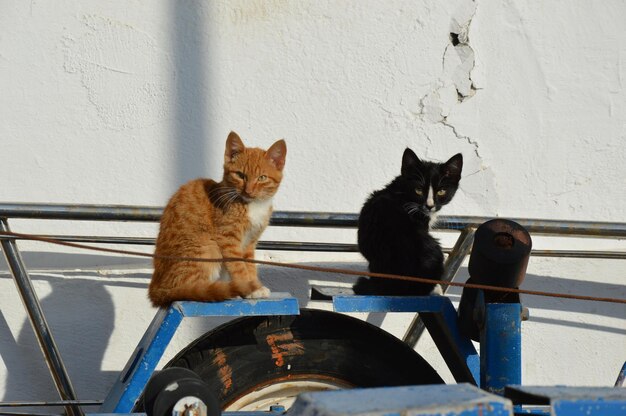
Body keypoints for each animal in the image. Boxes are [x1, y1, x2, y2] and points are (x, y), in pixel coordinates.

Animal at [149, 132, 288, 308]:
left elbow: (250, 266)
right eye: (240, 175)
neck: (253, 205)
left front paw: (254, 285)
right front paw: (249, 288)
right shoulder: (227, 238)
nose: (248, 191)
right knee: (186, 289)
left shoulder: (250, 243)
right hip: (207, 247)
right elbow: (238, 266)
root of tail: (156, 288)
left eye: (262, 178)